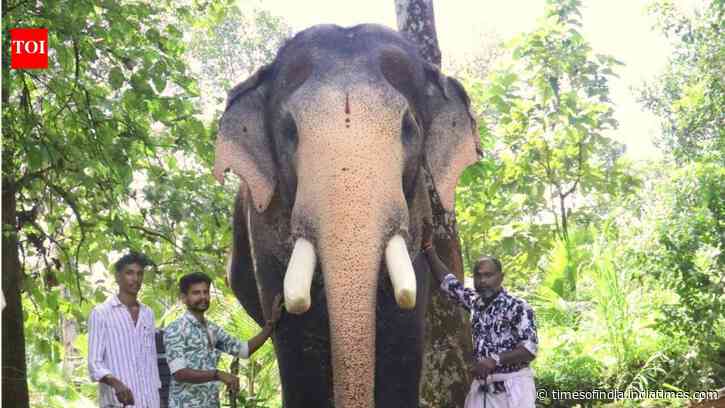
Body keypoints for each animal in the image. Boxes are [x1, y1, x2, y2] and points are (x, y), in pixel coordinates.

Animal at [213, 24, 481, 408]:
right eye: (290, 131)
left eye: (409, 129)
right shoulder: (263, 221)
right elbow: (298, 340)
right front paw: (282, 314)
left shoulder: (415, 210)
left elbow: (402, 327)